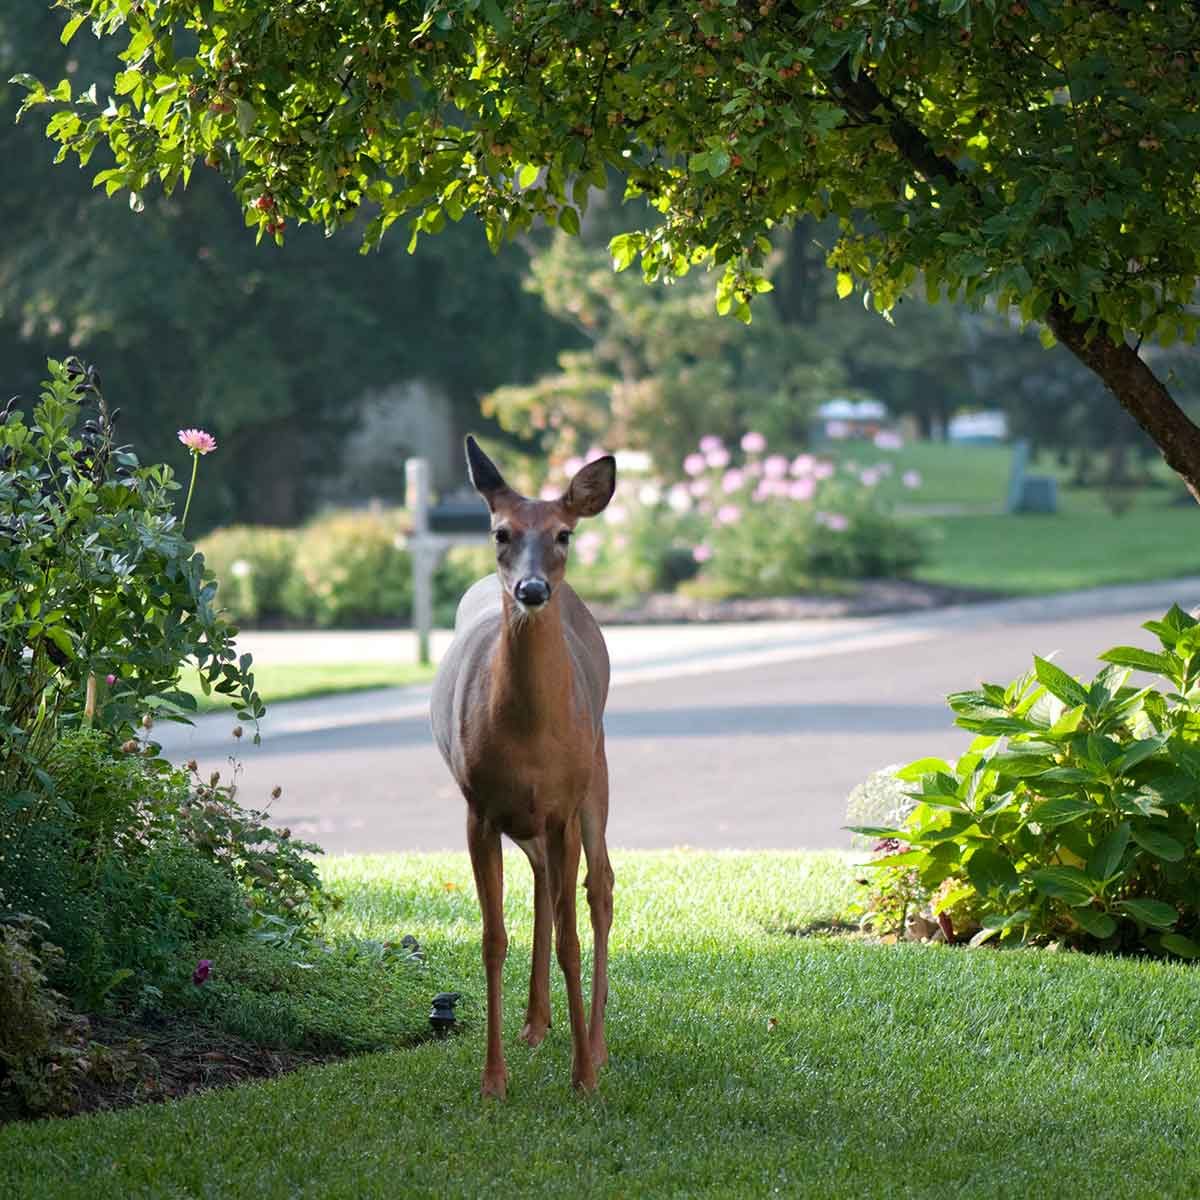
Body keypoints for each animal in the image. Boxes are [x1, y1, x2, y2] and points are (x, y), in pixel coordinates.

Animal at [432, 439, 614, 1099]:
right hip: (529, 814)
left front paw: (583, 1075)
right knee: (543, 879)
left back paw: (596, 1042)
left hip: (596, 773)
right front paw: (493, 1079)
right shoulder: (479, 809)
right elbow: (492, 940)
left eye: (564, 534)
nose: (532, 589)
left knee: (599, 887)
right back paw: (537, 1022)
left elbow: (569, 937)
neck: (531, 737)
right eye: (499, 532)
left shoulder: (564, 801)